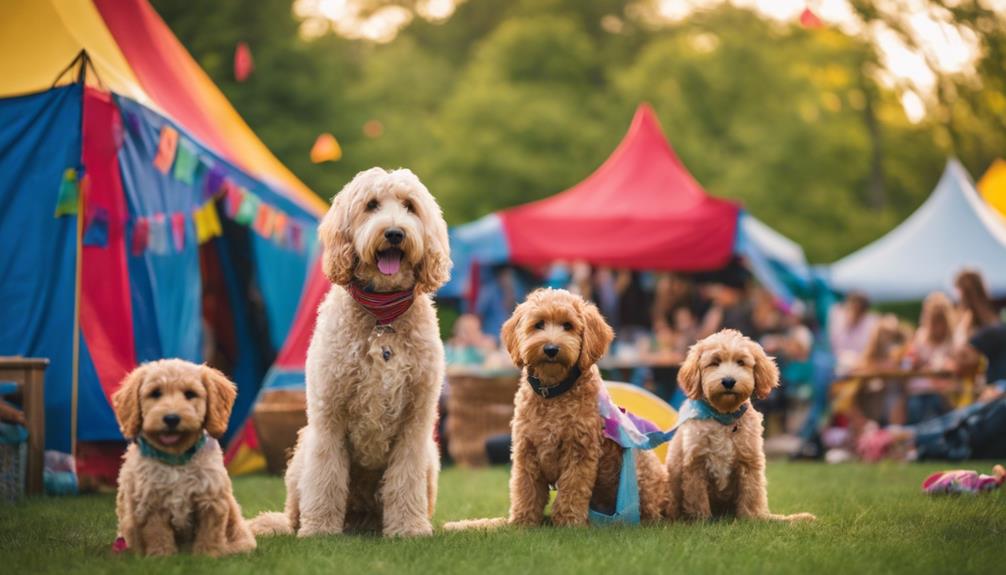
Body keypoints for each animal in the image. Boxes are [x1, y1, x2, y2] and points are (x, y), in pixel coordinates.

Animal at [112, 359, 255, 558]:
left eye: (190, 394)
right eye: (155, 393)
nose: (171, 418)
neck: (176, 459)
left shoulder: (211, 500)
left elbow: (209, 533)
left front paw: (207, 556)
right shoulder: (150, 503)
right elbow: (157, 533)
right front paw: (161, 556)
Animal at [251, 166, 452, 538]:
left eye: (410, 206)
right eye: (371, 205)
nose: (394, 233)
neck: (382, 316)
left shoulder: (415, 421)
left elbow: (405, 479)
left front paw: (408, 527)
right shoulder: (329, 414)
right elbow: (326, 478)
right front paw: (319, 529)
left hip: (431, 459)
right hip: (302, 453)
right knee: (297, 507)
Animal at [444, 287, 663, 530]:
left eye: (568, 325)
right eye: (538, 324)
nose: (551, 349)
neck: (552, 393)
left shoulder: (579, 452)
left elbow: (572, 490)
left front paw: (569, 522)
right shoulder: (526, 451)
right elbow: (525, 490)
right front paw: (522, 522)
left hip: (643, 470)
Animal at [667, 327, 816, 522]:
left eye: (741, 362)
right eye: (714, 362)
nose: (729, 381)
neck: (723, 417)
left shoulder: (749, 461)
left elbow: (751, 493)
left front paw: (752, 519)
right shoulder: (694, 464)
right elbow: (697, 497)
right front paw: (702, 520)